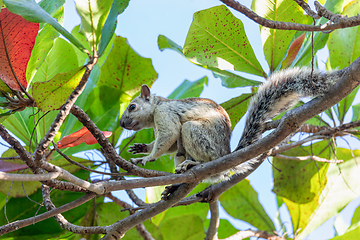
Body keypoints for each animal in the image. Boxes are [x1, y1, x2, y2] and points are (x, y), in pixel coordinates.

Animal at [119, 66, 344, 177]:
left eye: (132, 107)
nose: (121, 124)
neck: (155, 109)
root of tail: (225, 156)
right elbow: (170, 144)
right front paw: (141, 147)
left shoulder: (166, 114)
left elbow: (169, 136)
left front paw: (146, 159)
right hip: (185, 150)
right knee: (181, 154)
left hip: (196, 133)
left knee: (203, 155)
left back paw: (195, 163)